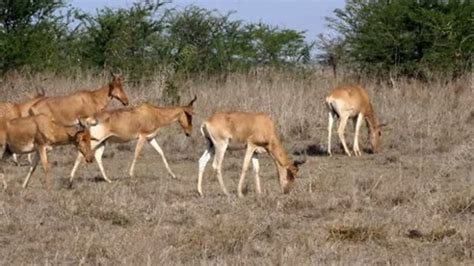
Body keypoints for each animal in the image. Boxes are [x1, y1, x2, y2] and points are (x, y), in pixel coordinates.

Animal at [68, 96, 196, 184]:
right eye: (189, 115)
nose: (189, 133)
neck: (153, 112)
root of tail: (91, 118)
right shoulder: (142, 137)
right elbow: (137, 154)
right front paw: (131, 175)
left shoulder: (150, 138)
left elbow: (161, 153)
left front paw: (173, 175)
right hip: (95, 140)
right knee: (81, 153)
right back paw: (71, 178)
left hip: (103, 141)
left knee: (98, 156)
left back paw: (108, 180)